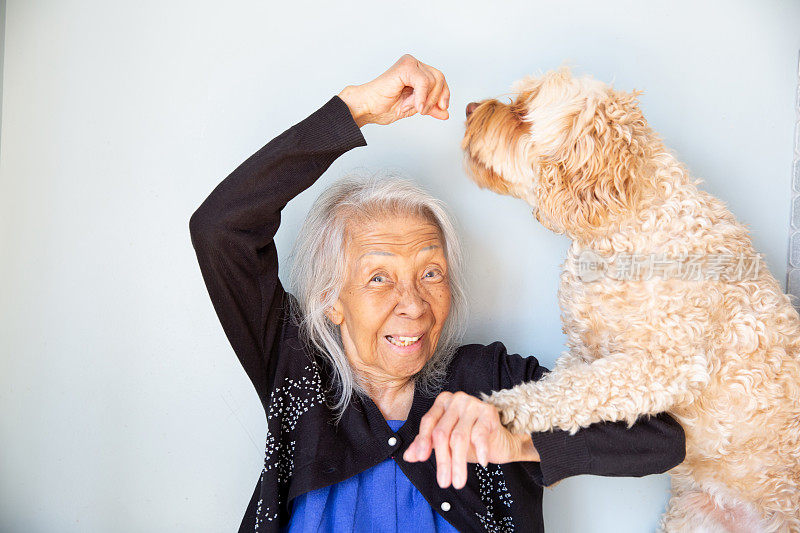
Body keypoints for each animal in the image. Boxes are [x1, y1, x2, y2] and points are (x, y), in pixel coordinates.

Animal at [460, 67, 800, 532]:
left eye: (523, 110)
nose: (468, 107)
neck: (622, 227)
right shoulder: (583, 353)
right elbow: (562, 388)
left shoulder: (663, 365)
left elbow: (570, 392)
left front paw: (507, 408)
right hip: (691, 517)